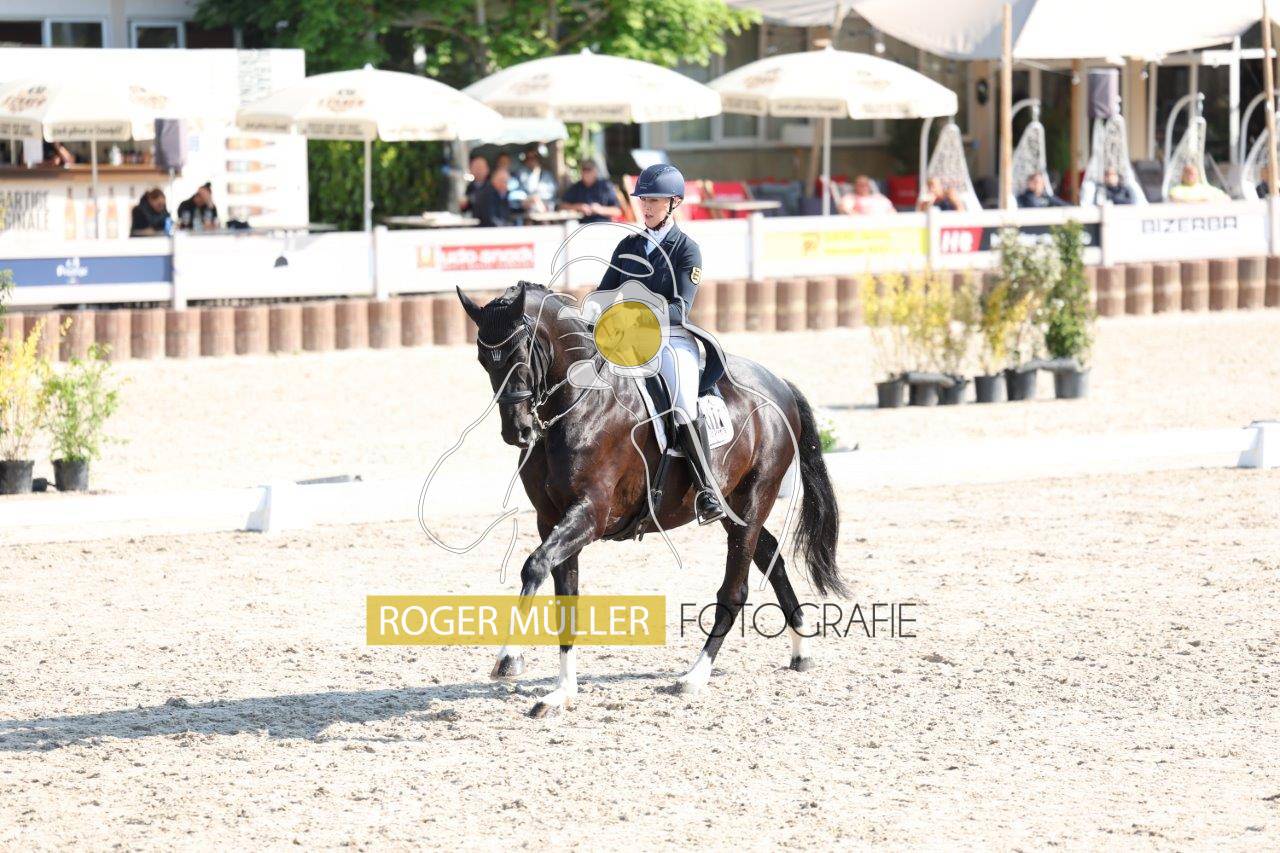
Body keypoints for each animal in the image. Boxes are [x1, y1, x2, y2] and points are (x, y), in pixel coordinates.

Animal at [456, 281, 847, 717]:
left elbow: (534, 566)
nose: (518, 432)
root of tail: (778, 384)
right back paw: (801, 650)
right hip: (737, 509)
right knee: (771, 558)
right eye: (483, 360)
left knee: (735, 590)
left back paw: (694, 677)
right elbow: (565, 595)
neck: (578, 401)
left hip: (755, 497)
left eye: (521, 354)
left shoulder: (589, 515)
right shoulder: (551, 519)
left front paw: (508, 659)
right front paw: (562, 692)